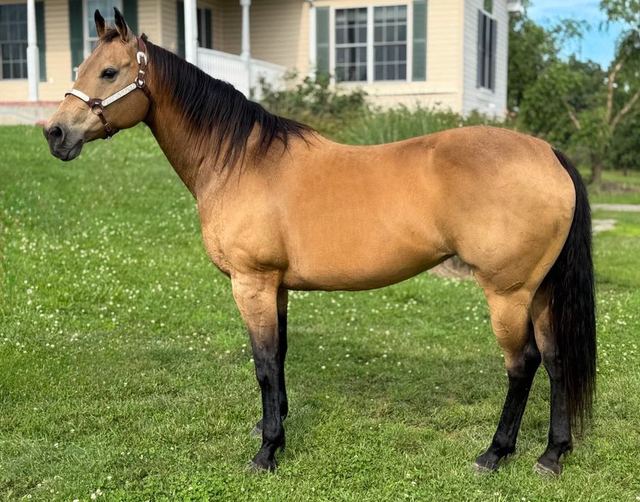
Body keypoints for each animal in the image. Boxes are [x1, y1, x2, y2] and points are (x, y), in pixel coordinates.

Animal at [43, 8, 596, 475]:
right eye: (80, 66)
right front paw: (274, 428)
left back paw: (494, 453)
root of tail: (547, 153)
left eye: (109, 72)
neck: (241, 161)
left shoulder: (251, 283)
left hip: (507, 293)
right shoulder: (277, 287)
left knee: (522, 365)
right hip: (539, 292)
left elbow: (264, 364)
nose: (54, 133)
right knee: (556, 360)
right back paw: (552, 455)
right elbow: (281, 355)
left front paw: (267, 451)